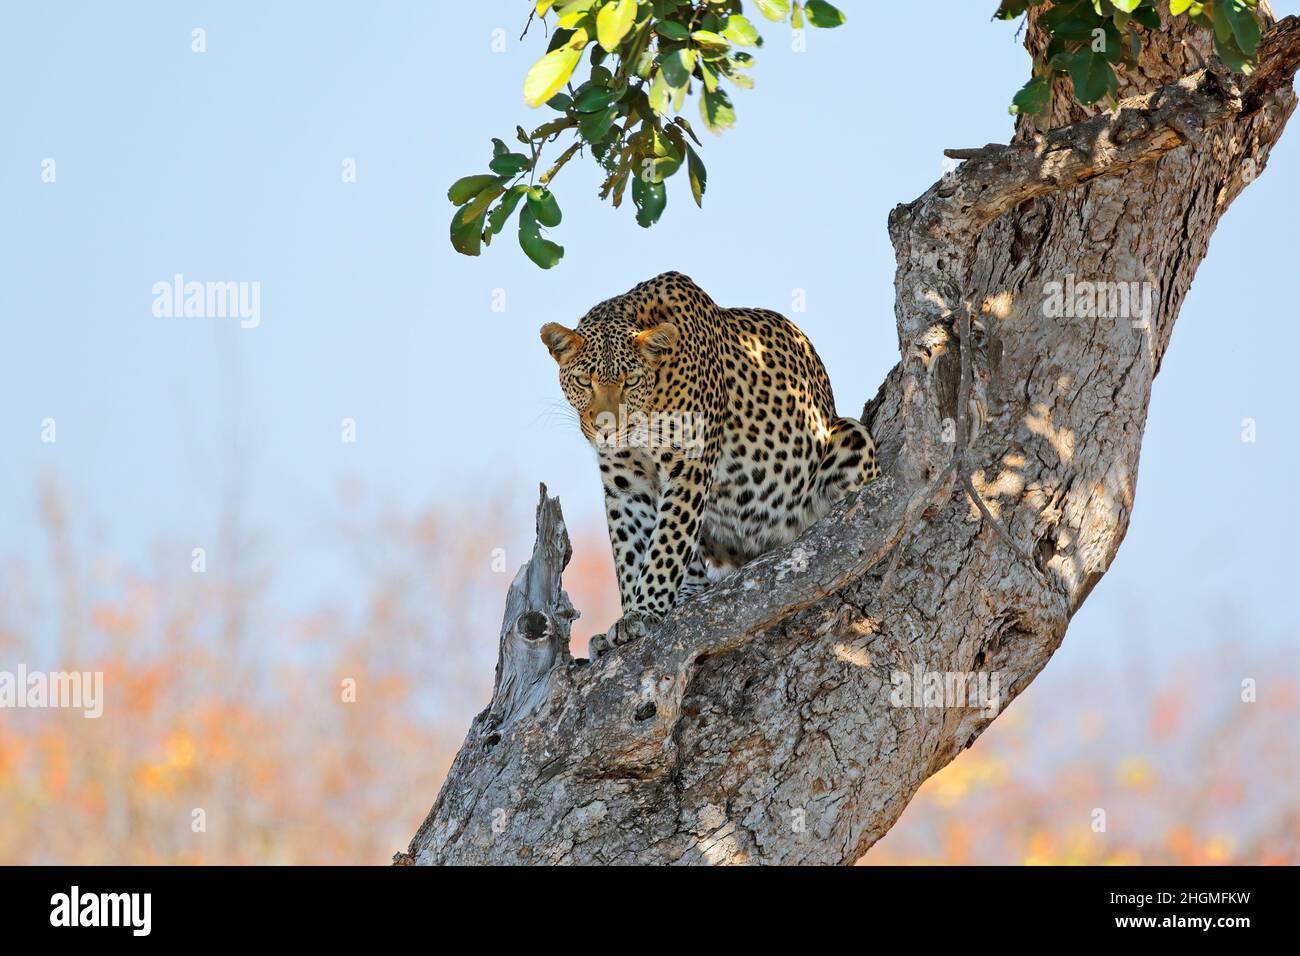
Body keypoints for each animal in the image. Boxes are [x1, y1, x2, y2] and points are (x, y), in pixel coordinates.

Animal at [538, 269, 883, 658]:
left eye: (632, 381)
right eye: (584, 381)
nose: (607, 428)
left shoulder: (689, 466)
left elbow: (667, 543)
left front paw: (645, 610)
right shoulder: (626, 484)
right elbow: (630, 549)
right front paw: (630, 614)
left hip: (849, 437)